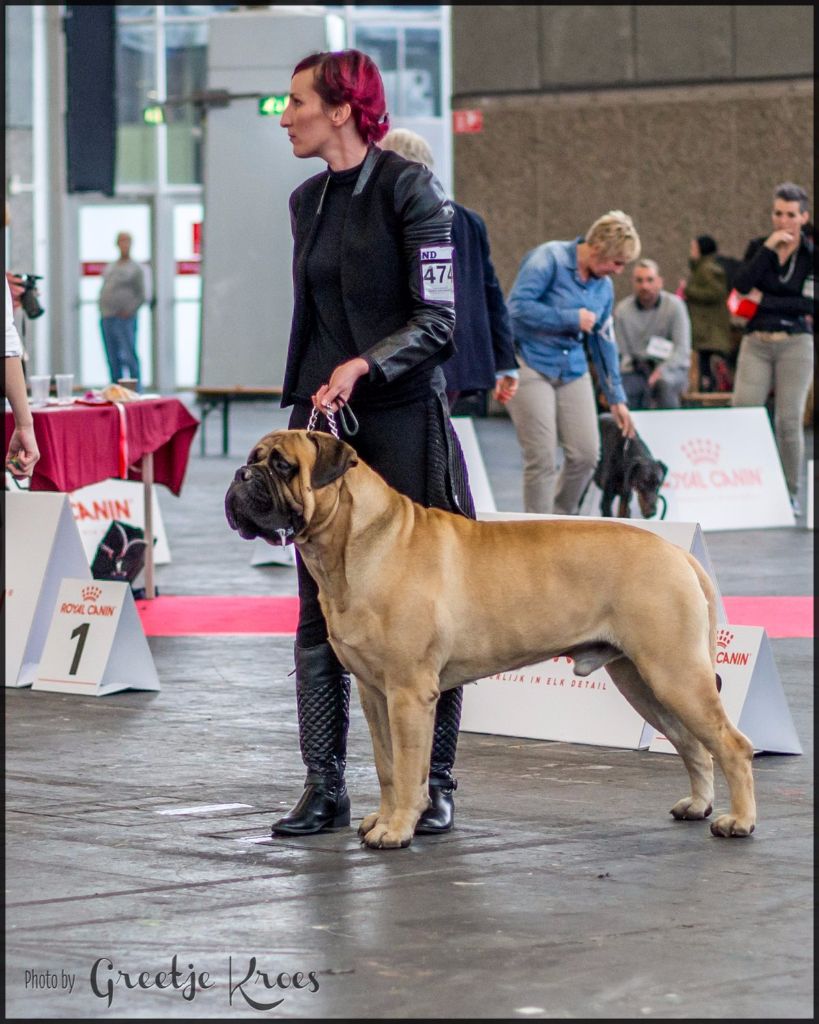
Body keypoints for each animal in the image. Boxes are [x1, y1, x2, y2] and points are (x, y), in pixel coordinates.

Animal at [224, 430, 753, 847]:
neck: (355, 542)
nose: (241, 475)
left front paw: (398, 829)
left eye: (283, 465)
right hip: (643, 681)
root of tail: (679, 554)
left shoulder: (409, 693)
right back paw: (697, 805)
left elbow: (410, 765)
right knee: (693, 744)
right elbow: (387, 765)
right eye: (254, 457)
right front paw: (385, 818)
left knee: (732, 744)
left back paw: (738, 821)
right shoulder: (376, 694)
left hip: (674, 673)